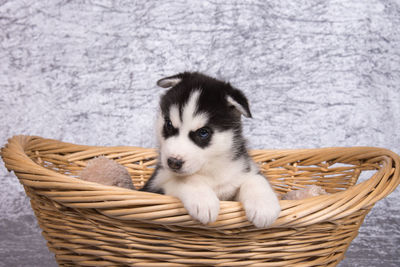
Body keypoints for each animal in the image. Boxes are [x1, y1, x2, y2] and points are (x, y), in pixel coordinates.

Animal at [141, 71, 282, 228]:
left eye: (203, 132)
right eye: (169, 125)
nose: (173, 162)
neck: (210, 171)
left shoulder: (241, 173)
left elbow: (255, 179)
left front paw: (264, 206)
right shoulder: (155, 185)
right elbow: (185, 180)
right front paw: (203, 201)